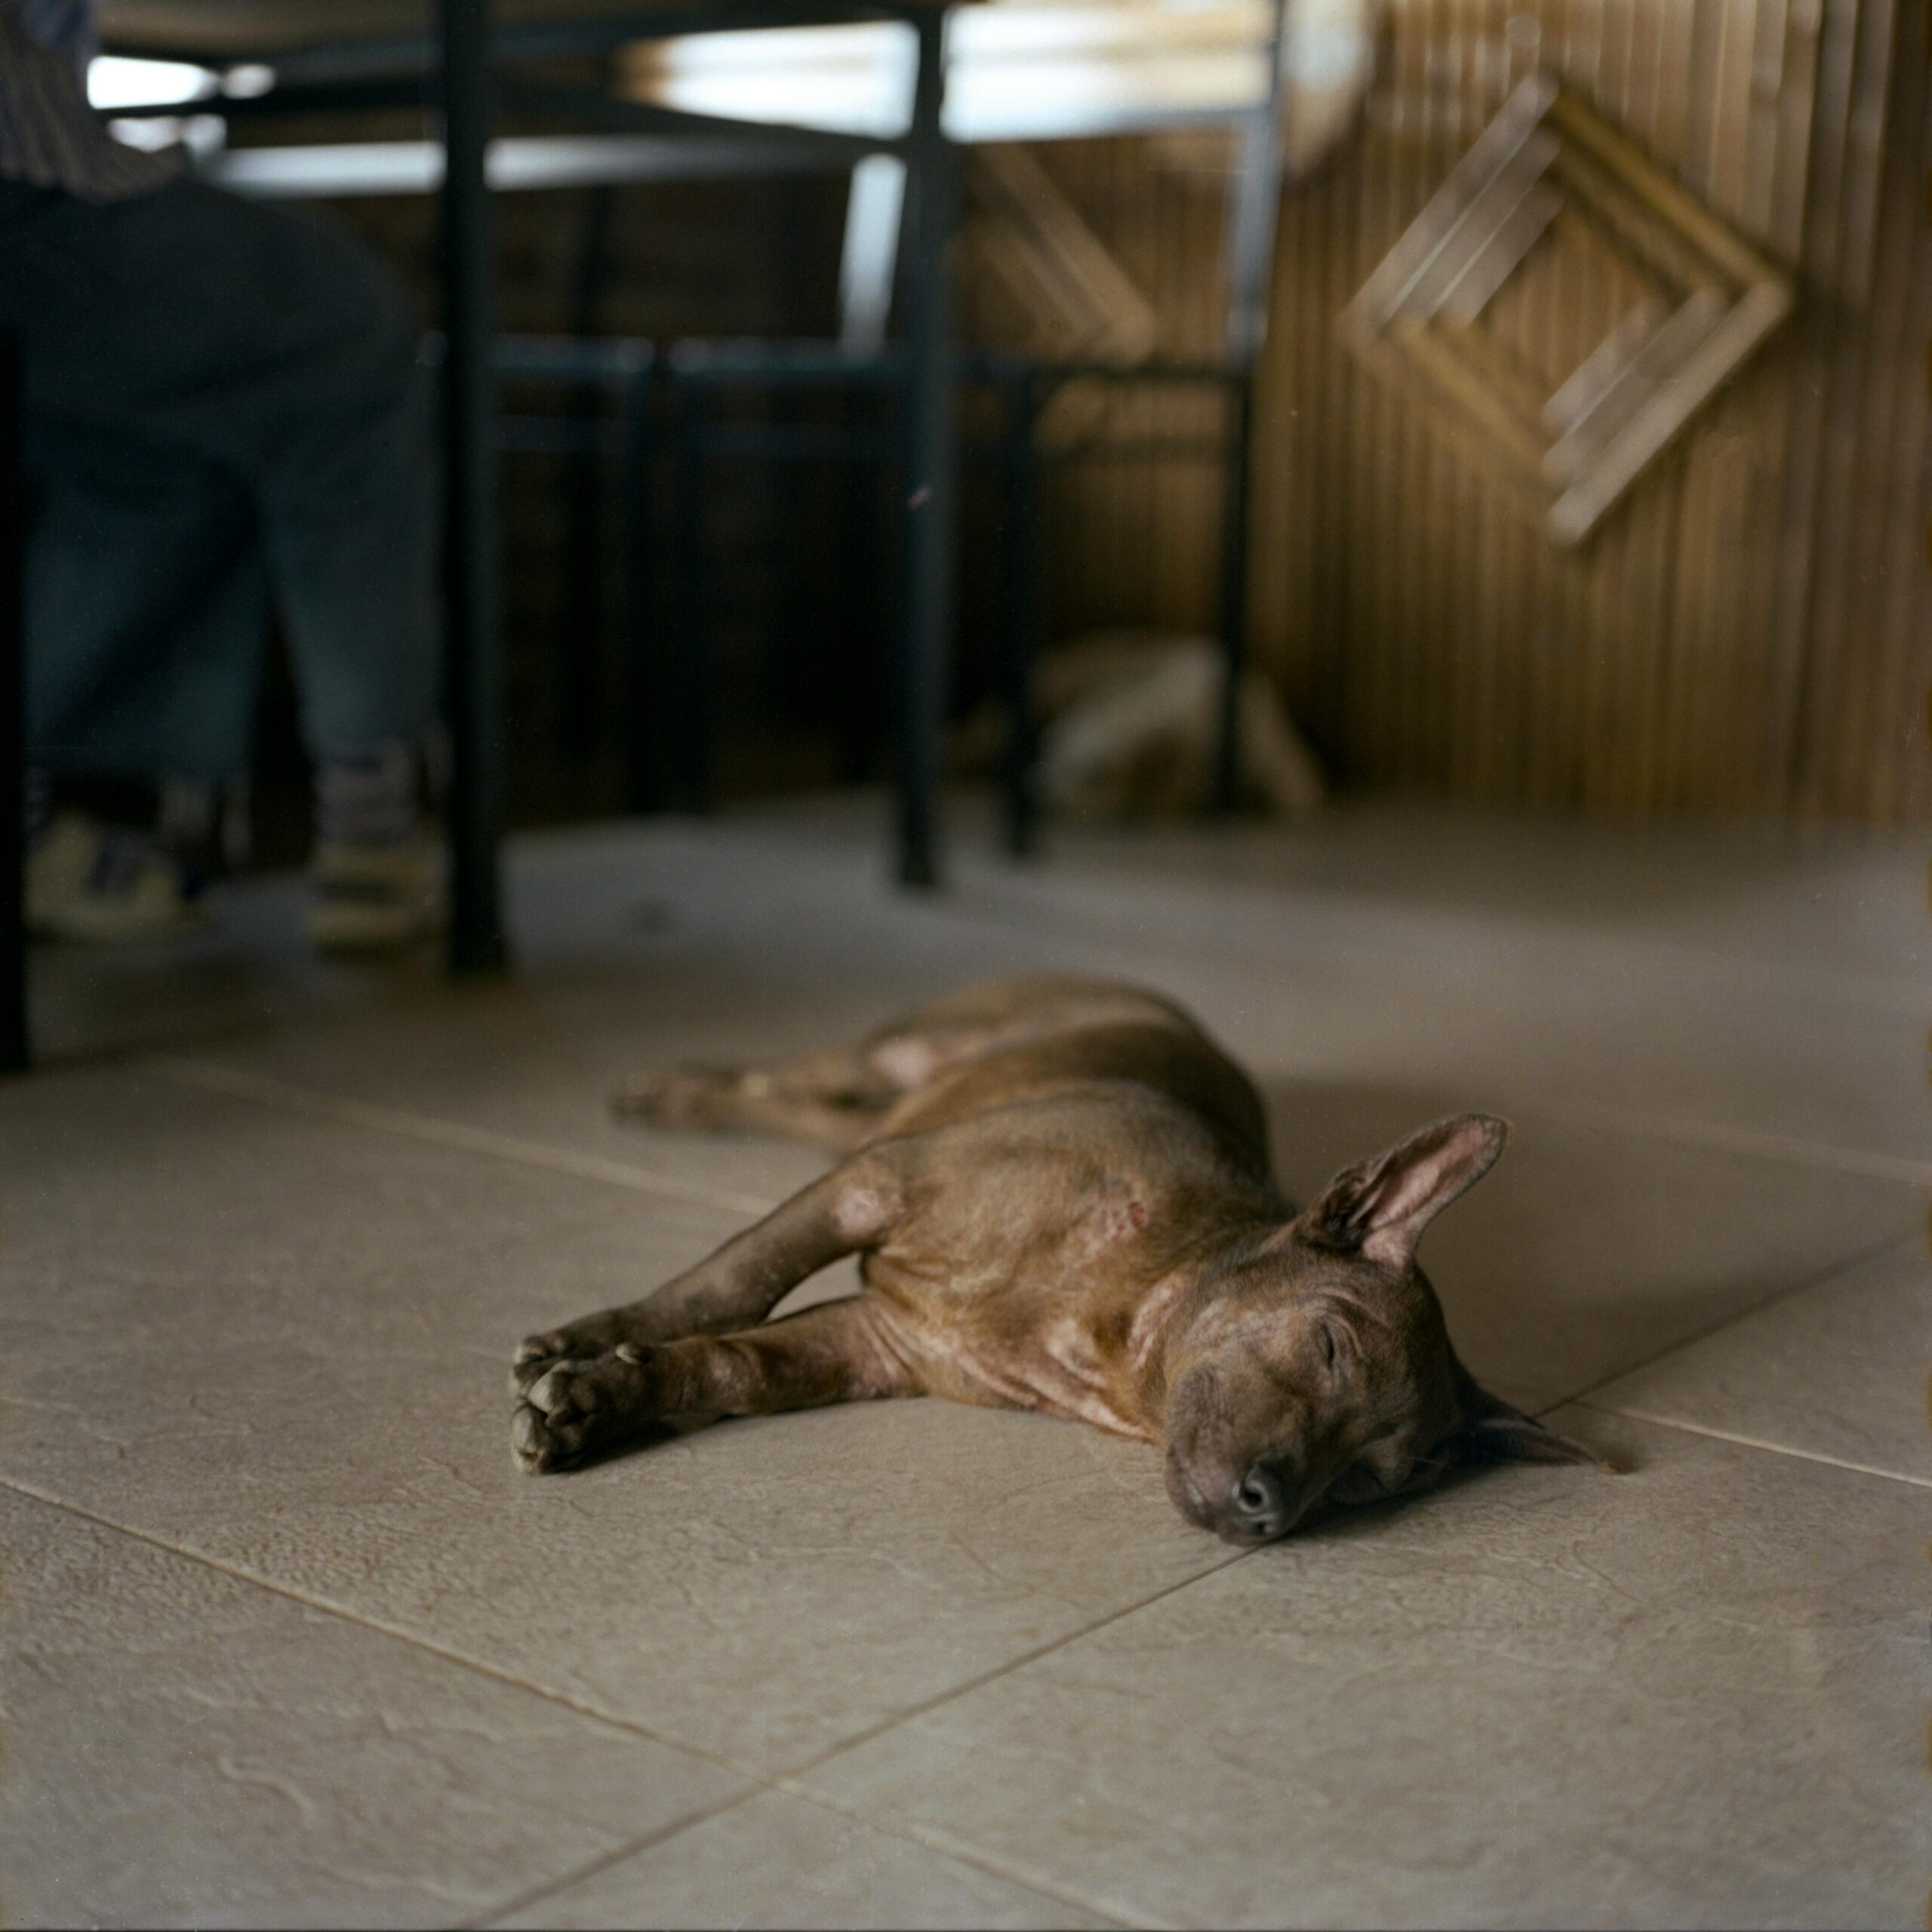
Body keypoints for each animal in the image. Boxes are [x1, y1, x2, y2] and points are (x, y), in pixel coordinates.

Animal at [509, 981, 1599, 1537]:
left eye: (1372, 1480)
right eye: (1330, 1346)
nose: (1265, 1513)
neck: (1111, 1321)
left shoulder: (869, 1344)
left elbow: (732, 1364)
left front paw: (596, 1405)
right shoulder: (875, 1185)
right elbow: (731, 1281)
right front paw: (585, 1343)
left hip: (876, 1115)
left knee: (797, 1106)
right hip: (895, 1059)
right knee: (788, 1076)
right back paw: (673, 1090)